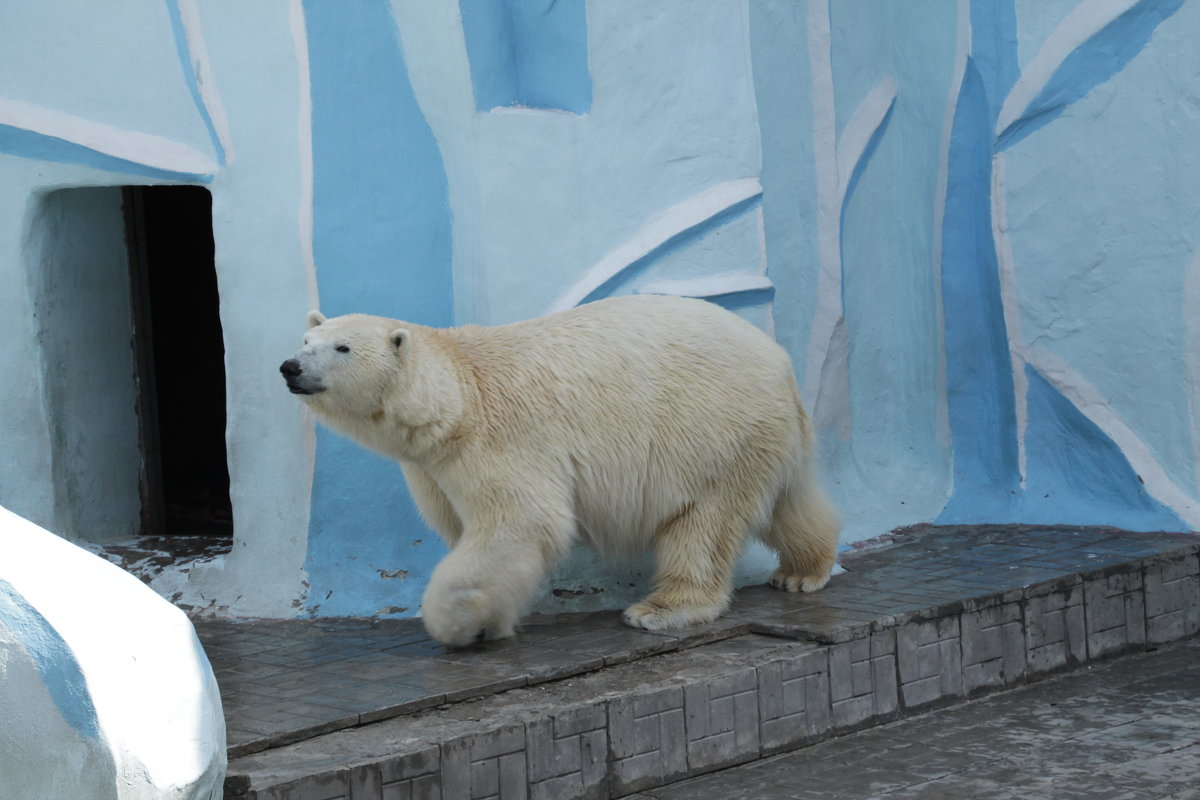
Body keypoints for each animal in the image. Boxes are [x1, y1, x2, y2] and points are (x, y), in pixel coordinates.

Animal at [284, 297, 840, 647]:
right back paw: (801, 572)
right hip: (762, 435)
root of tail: (780, 361)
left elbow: (521, 522)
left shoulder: (502, 439)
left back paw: (661, 609)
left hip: (714, 429)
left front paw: (457, 622)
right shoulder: (430, 468)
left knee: (704, 521)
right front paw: (489, 619)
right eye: (307, 338)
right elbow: (464, 527)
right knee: (788, 503)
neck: (456, 398)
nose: (291, 366)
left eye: (342, 348)